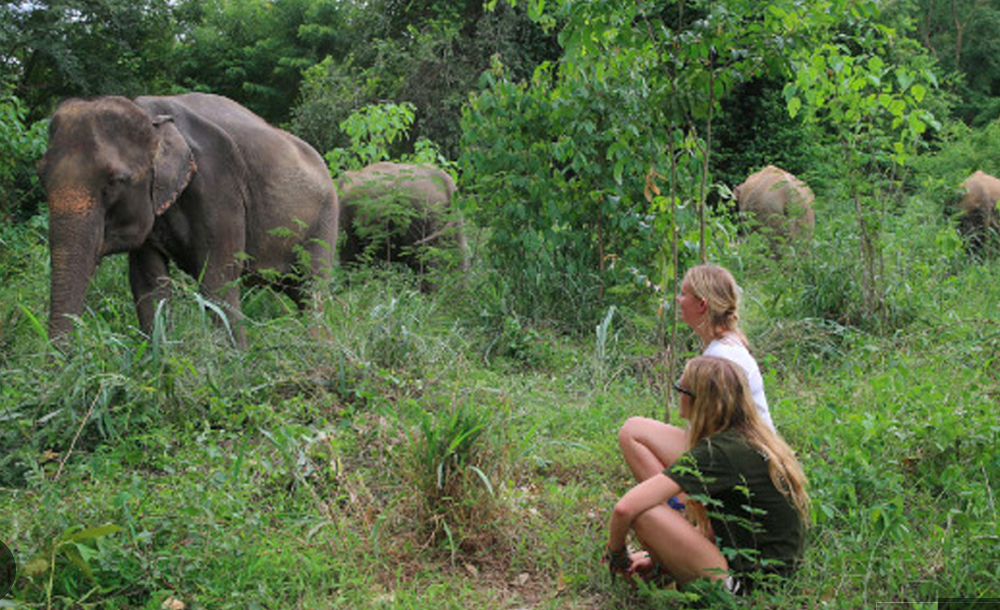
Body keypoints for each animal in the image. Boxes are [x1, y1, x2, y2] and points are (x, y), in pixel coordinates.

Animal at [38, 93, 339, 346]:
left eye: (115, 181)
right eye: (41, 176)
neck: (150, 116)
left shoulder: (218, 186)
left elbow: (219, 280)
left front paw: (234, 365)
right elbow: (150, 285)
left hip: (325, 221)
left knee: (312, 289)